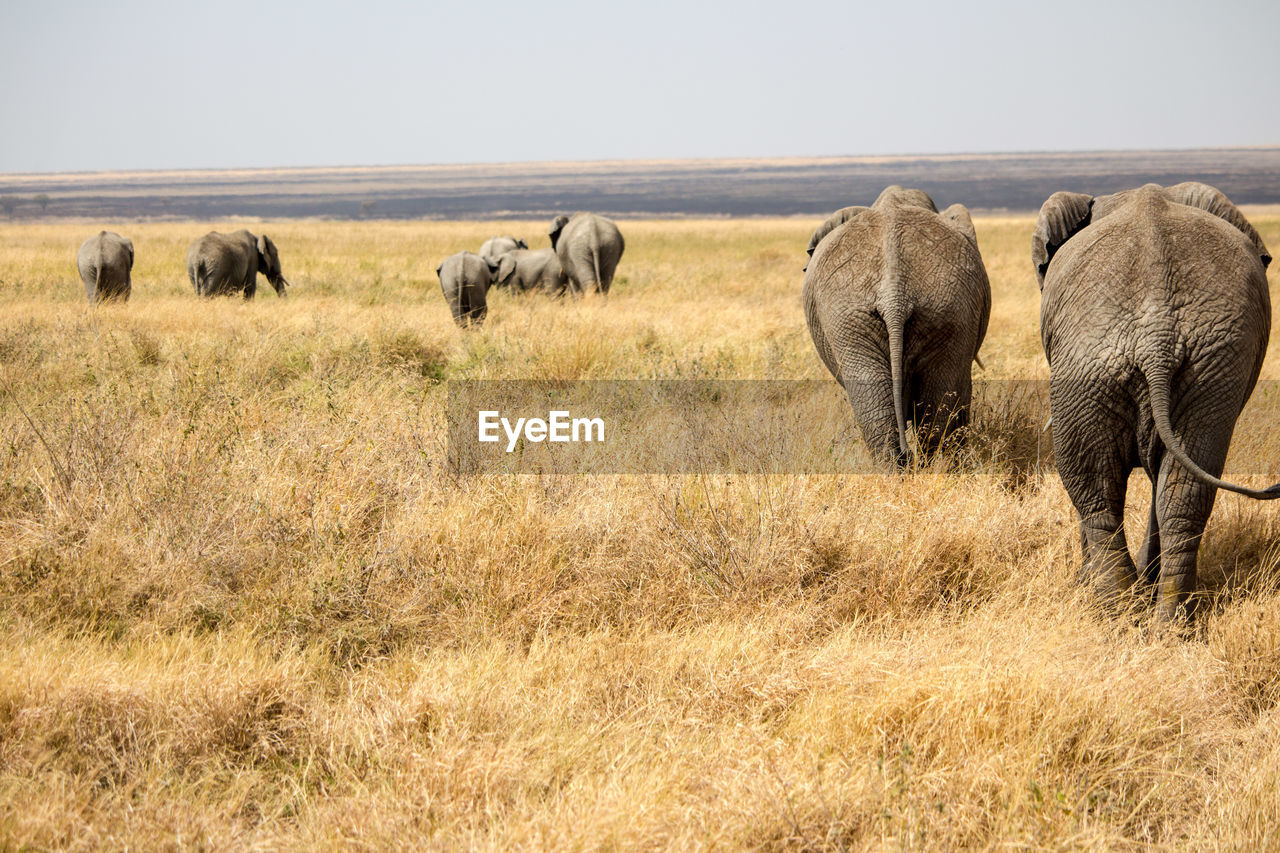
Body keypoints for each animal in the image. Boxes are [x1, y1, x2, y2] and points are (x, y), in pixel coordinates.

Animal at [1034, 180, 1274, 617]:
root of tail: (1156, 334)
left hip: (1092, 365)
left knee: (1096, 493)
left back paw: (1117, 614)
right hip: (1204, 369)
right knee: (1180, 492)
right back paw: (1164, 620)